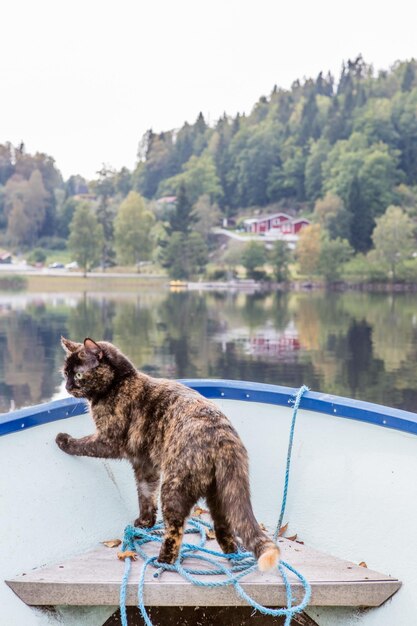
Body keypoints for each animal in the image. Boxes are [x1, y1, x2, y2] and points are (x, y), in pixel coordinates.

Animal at [55, 336, 280, 572]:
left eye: (78, 375)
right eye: (65, 373)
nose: (67, 386)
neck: (119, 383)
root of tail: (223, 437)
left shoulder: (108, 441)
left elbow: (84, 445)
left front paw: (64, 440)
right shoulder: (144, 464)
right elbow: (145, 493)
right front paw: (145, 522)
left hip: (173, 488)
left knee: (175, 530)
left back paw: (164, 560)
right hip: (220, 495)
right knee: (224, 528)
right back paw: (233, 555)